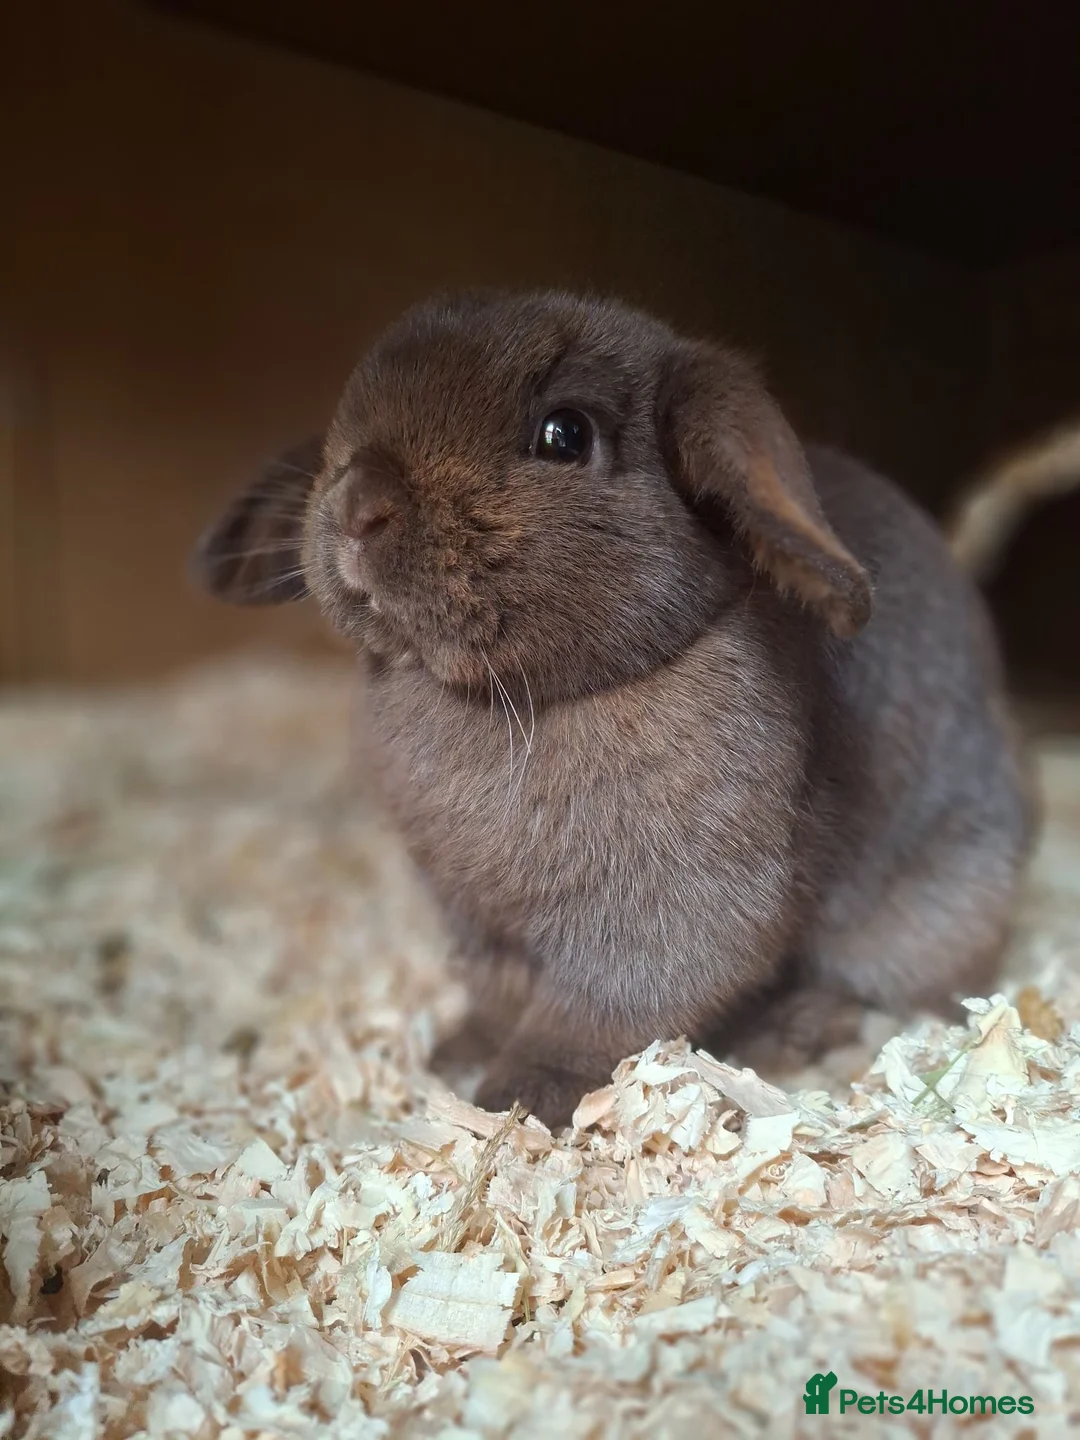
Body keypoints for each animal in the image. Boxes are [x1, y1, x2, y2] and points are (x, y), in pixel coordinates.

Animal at [193, 289, 1035, 1128]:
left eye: (565, 434)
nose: (359, 507)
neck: (527, 700)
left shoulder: (666, 919)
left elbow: (599, 1012)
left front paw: (522, 1095)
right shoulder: (482, 926)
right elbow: (502, 996)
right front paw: (460, 1055)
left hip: (939, 906)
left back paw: (796, 1029)